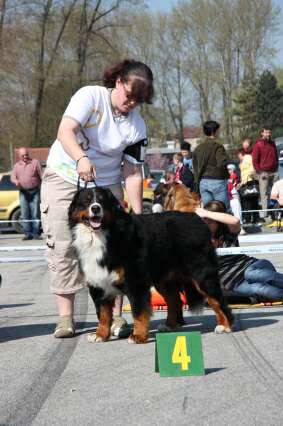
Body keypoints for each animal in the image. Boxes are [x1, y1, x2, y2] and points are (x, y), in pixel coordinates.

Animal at [69, 186, 235, 342]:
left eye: (102, 201)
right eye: (86, 201)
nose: (95, 208)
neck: (101, 236)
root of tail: (197, 218)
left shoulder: (135, 282)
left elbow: (139, 312)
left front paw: (138, 336)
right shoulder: (98, 283)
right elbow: (103, 314)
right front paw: (100, 335)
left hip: (201, 274)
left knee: (217, 300)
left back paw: (225, 325)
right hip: (164, 279)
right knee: (174, 300)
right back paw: (169, 326)